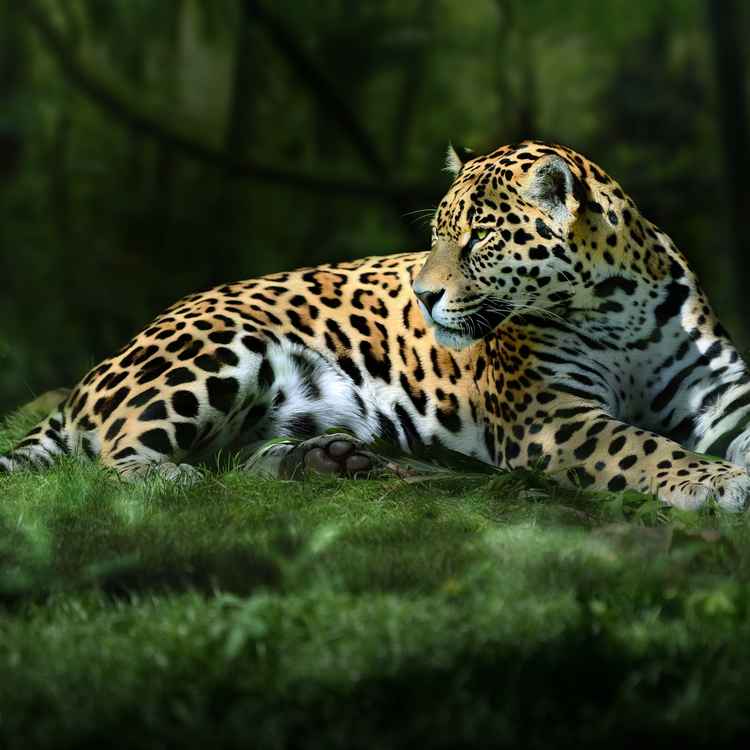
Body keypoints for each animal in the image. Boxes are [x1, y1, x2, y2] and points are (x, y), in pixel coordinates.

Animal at [3, 140, 750, 511]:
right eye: (437, 236)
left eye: (479, 240)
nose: (422, 292)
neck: (615, 305)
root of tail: (89, 378)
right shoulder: (550, 414)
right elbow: (640, 447)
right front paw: (711, 482)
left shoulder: (720, 393)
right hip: (218, 348)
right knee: (110, 466)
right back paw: (172, 480)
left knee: (232, 461)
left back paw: (323, 460)